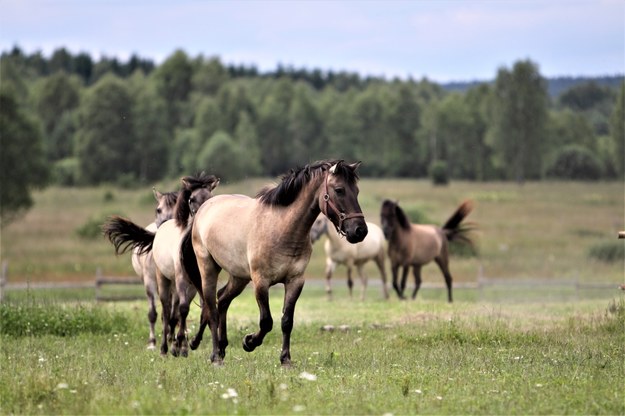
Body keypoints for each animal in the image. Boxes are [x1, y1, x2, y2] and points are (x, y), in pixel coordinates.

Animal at [102, 173, 219, 358]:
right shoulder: (174, 279)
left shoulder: (197, 283)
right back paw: (164, 347)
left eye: (210, 197)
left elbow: (196, 310)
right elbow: (176, 311)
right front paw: (176, 343)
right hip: (162, 281)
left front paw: (184, 344)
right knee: (164, 310)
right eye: (191, 199)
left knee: (173, 312)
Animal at [179, 161, 366, 366]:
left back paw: (221, 347)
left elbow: (287, 321)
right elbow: (266, 321)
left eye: (356, 191)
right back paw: (215, 356)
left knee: (222, 299)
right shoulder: (261, 282)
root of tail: (203, 209)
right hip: (208, 268)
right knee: (211, 308)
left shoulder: (295, 281)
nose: (360, 231)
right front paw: (249, 342)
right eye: (339, 190)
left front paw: (285, 359)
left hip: (239, 277)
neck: (282, 228)